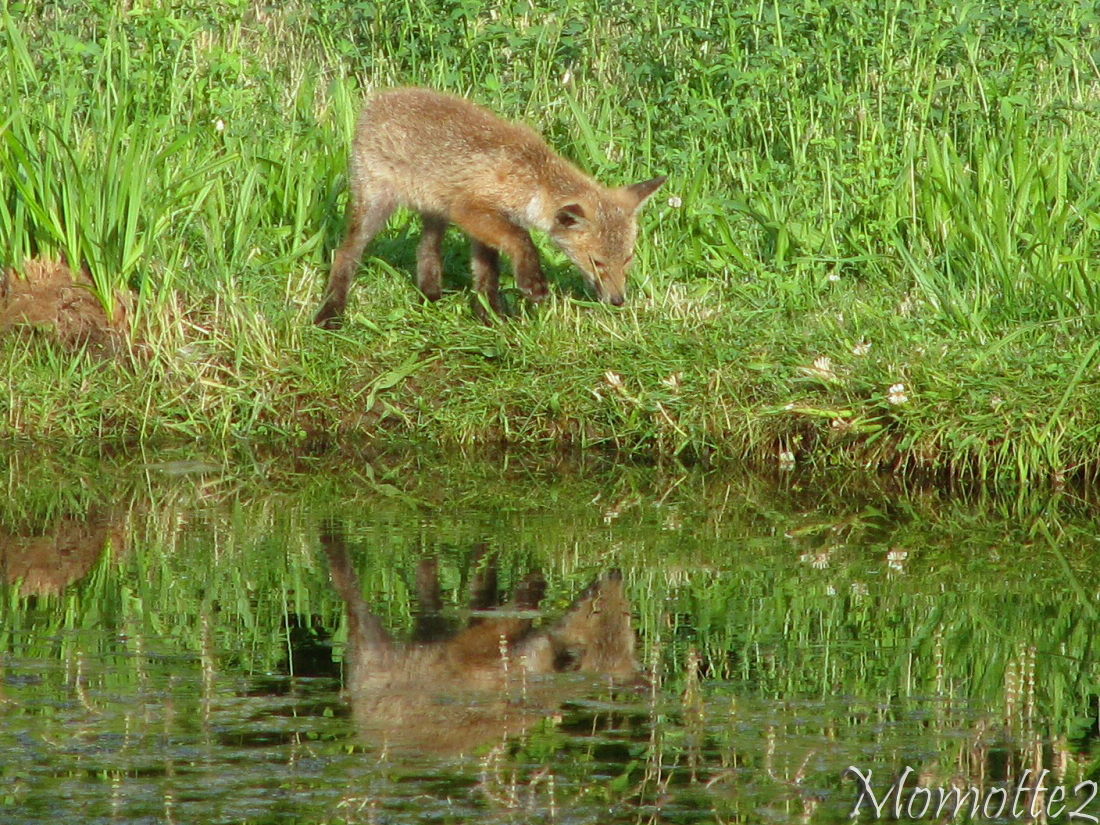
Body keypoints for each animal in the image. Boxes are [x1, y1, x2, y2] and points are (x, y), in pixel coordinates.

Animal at [314, 86, 664, 325]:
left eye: (627, 259)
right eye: (597, 262)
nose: (618, 300)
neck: (533, 178)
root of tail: (375, 101)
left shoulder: (482, 221)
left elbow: (486, 273)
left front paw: (490, 315)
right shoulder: (471, 209)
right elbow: (521, 240)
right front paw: (532, 284)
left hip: (436, 211)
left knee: (426, 250)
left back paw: (431, 296)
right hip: (376, 206)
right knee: (345, 253)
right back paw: (330, 312)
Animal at [321, 530, 642, 756]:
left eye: (597, 610)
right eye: (626, 616)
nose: (616, 573)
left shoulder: (468, 650)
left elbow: (503, 614)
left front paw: (530, 586)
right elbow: (491, 601)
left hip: (370, 636)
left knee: (347, 583)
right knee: (428, 589)